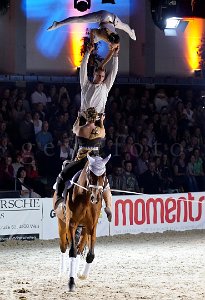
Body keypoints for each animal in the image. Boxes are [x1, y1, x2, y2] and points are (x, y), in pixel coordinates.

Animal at [54, 154, 110, 292]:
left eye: (104, 174)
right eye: (90, 173)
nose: (96, 198)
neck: (84, 198)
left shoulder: (92, 227)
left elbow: (90, 255)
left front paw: (81, 275)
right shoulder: (71, 225)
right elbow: (72, 251)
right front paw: (71, 283)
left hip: (84, 229)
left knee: (80, 249)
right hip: (61, 224)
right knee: (64, 247)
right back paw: (62, 272)